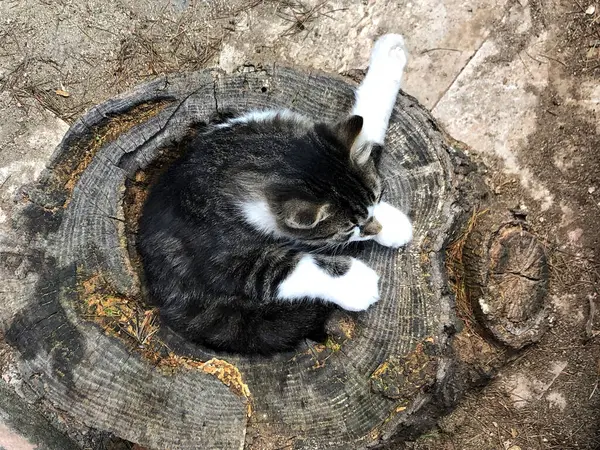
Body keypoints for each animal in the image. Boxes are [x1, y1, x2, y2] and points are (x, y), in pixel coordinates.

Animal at [138, 33, 414, 354]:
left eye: (378, 197)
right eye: (348, 229)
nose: (375, 228)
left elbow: (367, 125)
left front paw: (389, 57)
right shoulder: (226, 262)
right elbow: (286, 269)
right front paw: (355, 282)